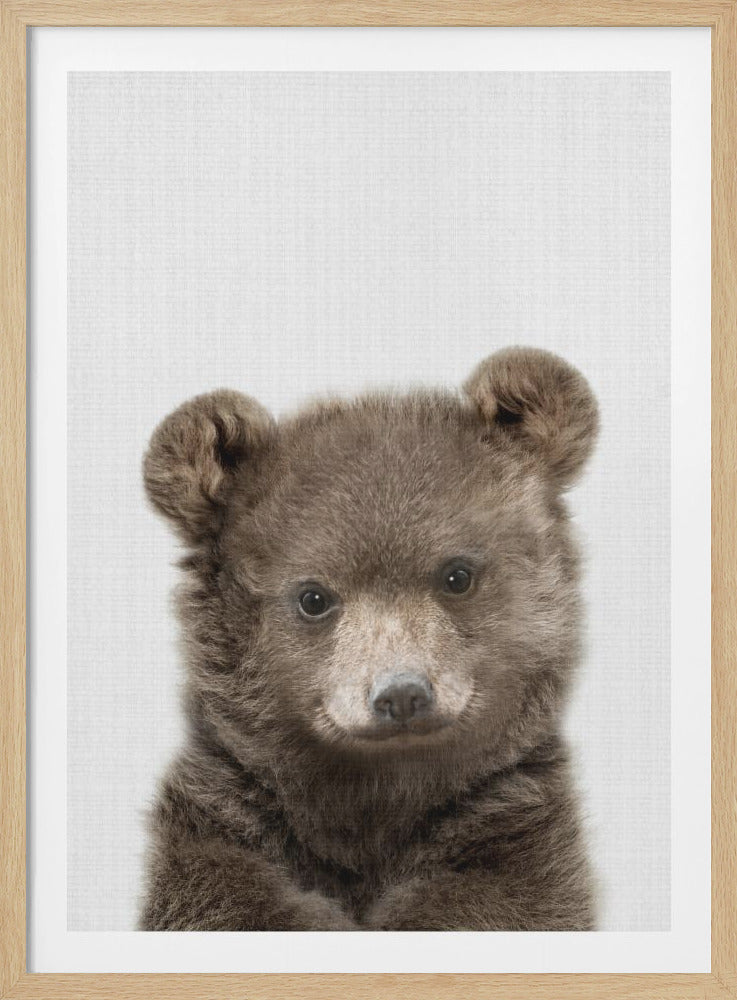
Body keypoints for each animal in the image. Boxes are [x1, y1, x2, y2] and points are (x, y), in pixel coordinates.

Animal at [138, 346, 599, 932]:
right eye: (313, 597)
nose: (401, 694)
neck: (375, 802)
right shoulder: (225, 824)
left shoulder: (513, 832)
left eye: (457, 575)